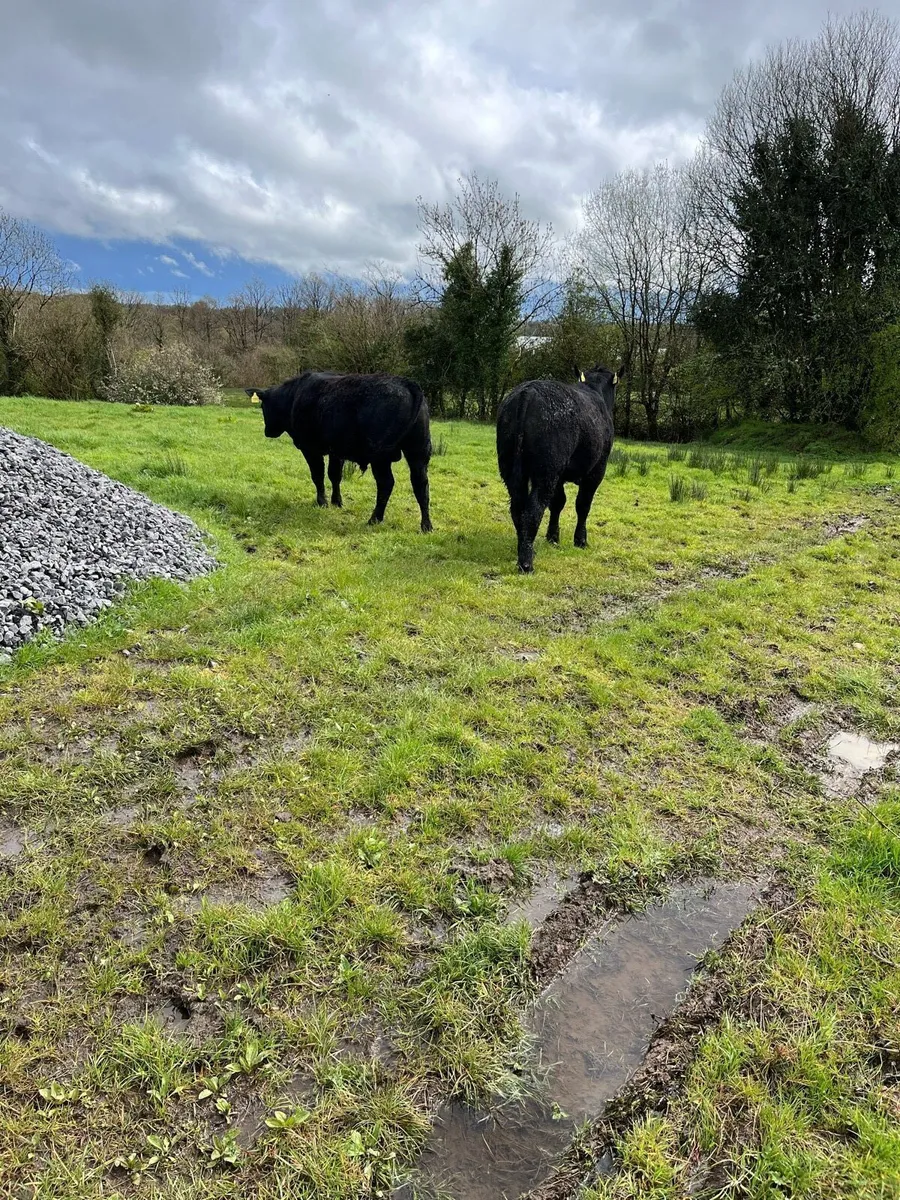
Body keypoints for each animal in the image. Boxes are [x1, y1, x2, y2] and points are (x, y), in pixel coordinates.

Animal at [246, 371, 433, 532]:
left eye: (263, 406)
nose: (268, 432)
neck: (294, 397)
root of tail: (406, 383)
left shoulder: (310, 449)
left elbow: (318, 475)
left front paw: (322, 502)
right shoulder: (337, 451)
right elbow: (335, 475)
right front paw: (337, 501)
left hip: (381, 456)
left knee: (386, 483)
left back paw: (374, 519)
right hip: (418, 452)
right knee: (420, 485)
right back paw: (426, 525)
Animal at [496, 365, 619, 573]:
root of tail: (528, 391)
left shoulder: (560, 476)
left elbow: (558, 503)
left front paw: (553, 537)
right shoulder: (597, 470)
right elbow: (583, 505)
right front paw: (580, 540)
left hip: (511, 467)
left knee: (518, 508)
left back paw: (526, 549)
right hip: (547, 472)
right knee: (534, 509)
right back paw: (526, 563)